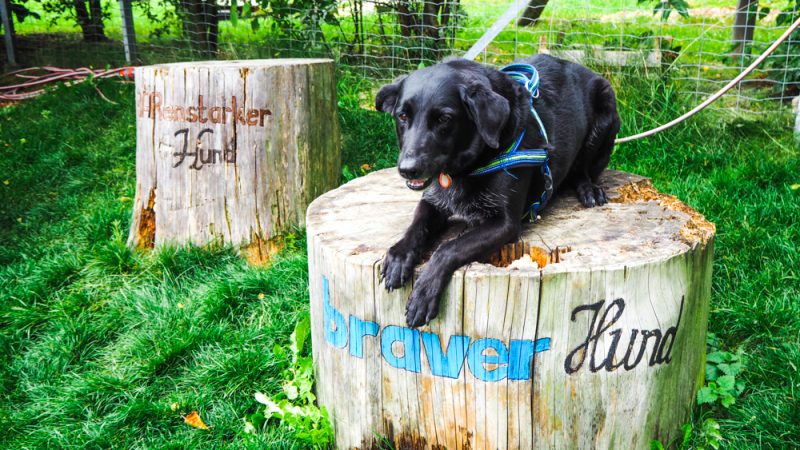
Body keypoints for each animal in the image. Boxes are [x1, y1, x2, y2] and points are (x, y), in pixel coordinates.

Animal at [376, 54, 620, 326]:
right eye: (402, 116)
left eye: (444, 119)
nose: (408, 170)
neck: (467, 166)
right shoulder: (433, 201)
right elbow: (416, 225)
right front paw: (399, 255)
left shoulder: (505, 223)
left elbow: (448, 248)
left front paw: (424, 292)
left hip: (607, 114)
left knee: (583, 170)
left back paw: (588, 189)